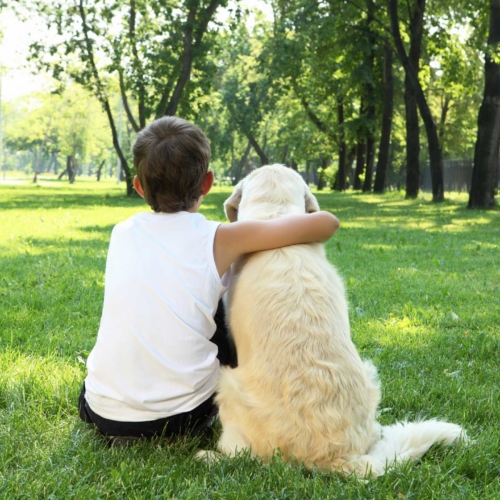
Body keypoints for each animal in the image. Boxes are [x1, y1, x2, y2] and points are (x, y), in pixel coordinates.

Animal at [202, 163, 464, 476]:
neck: (276, 215)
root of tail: (338, 457)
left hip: (228, 385)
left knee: (241, 456)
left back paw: (209, 456)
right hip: (370, 377)